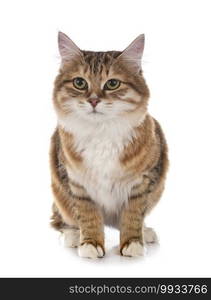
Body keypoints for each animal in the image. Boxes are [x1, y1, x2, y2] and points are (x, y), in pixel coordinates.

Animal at [49, 31, 168, 258]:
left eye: (112, 84)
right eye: (79, 82)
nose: (94, 100)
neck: (101, 133)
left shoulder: (142, 182)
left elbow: (133, 215)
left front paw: (132, 243)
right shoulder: (78, 184)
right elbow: (88, 216)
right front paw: (90, 244)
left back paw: (145, 233)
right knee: (62, 220)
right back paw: (72, 236)